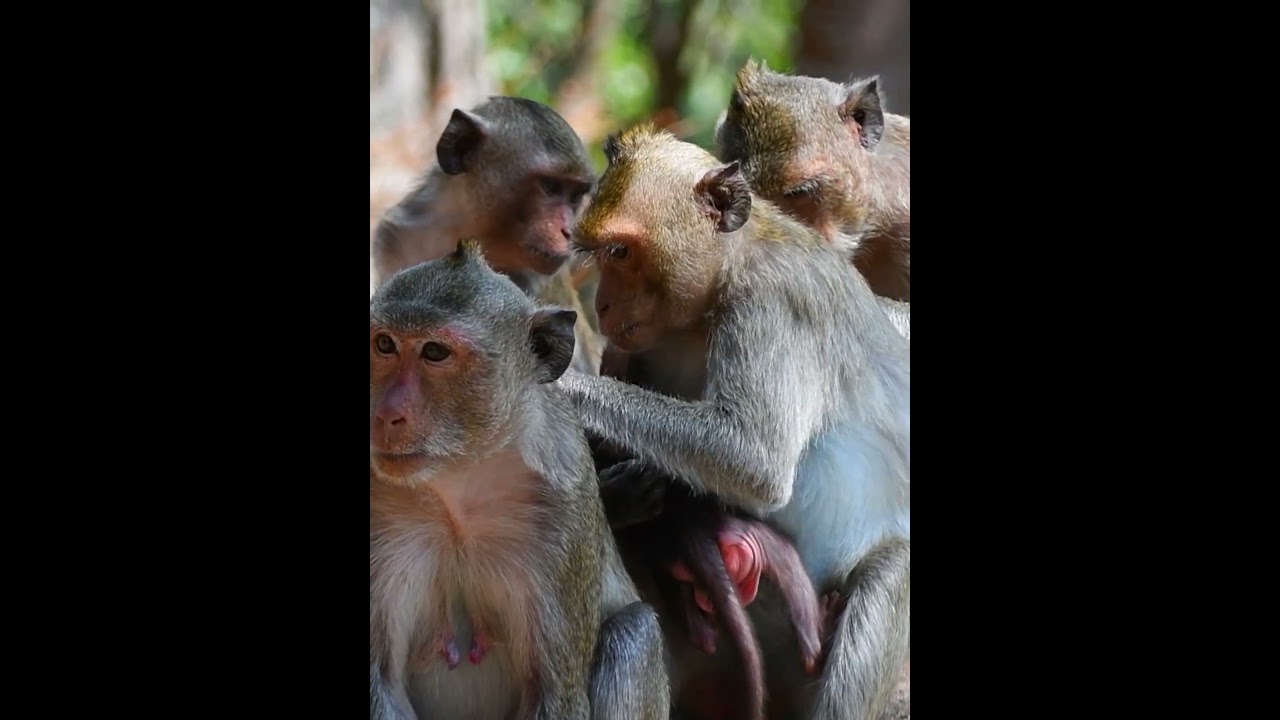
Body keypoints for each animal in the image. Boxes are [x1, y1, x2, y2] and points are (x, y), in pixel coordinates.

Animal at [369, 240, 670, 720]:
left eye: (435, 353)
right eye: (383, 344)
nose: (384, 414)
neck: (459, 486)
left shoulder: (564, 507)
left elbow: (555, 694)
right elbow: (381, 682)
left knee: (632, 632)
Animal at [557, 124, 910, 720]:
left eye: (620, 252)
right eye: (602, 254)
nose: (601, 304)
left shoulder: (770, 306)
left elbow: (754, 461)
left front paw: (563, 386)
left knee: (886, 576)